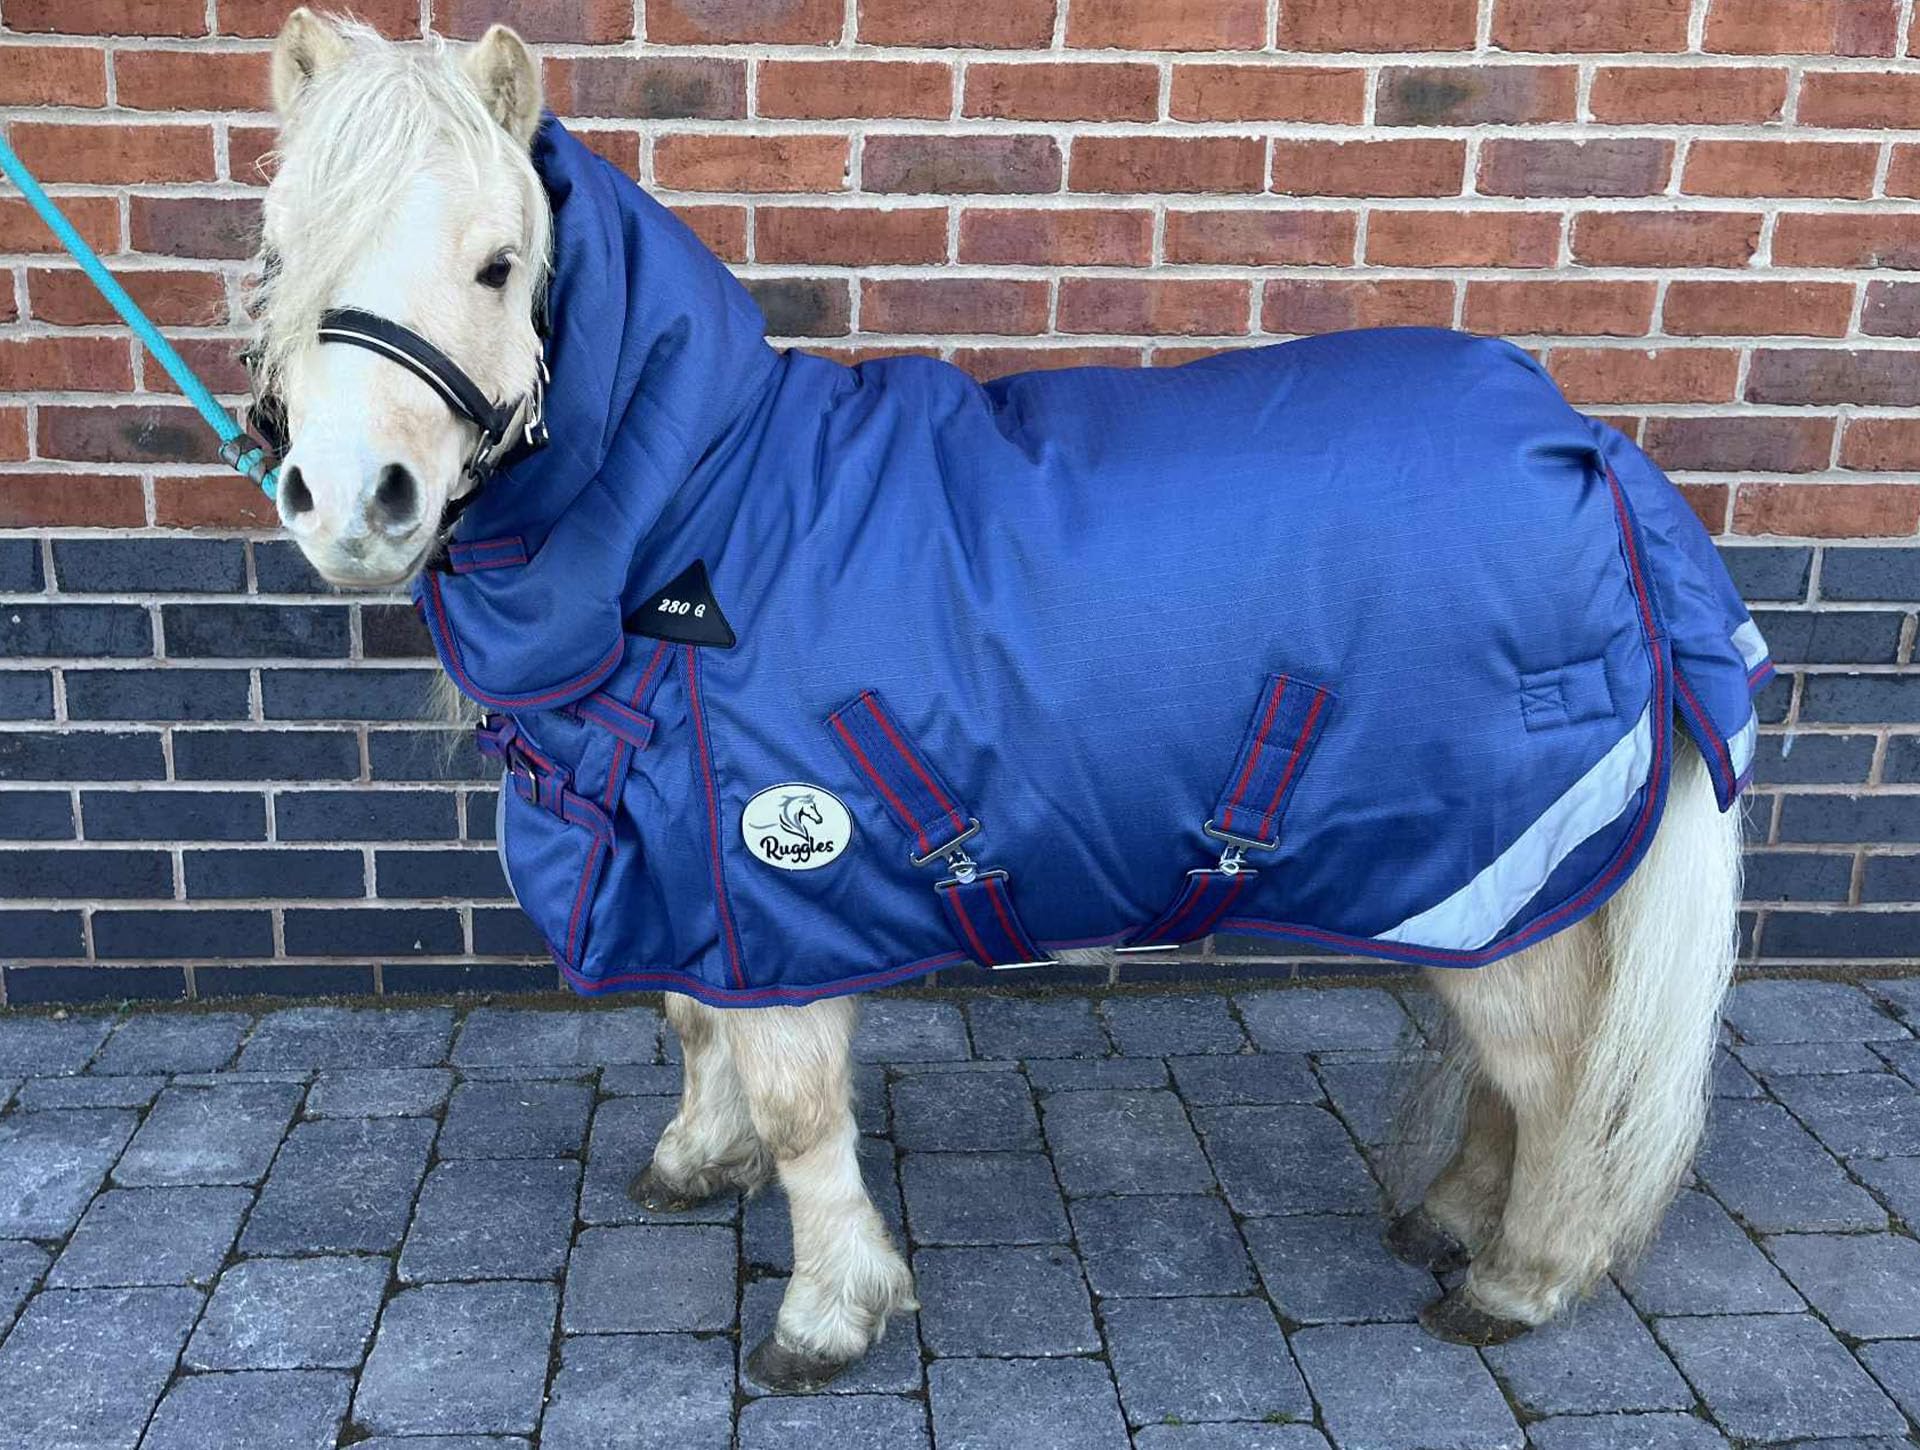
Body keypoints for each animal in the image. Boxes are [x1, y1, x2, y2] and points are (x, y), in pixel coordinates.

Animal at [255, 11, 1749, 1391]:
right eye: (278, 254)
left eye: (498, 265)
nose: (354, 503)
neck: (698, 522)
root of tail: (1591, 452)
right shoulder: (694, 878)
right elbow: (693, 1023)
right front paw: (695, 1159)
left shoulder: (782, 879)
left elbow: (799, 1108)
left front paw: (826, 1310)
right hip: (1483, 887)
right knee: (1517, 1072)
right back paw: (1446, 1217)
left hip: (1499, 863)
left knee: (1558, 1077)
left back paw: (1519, 1275)